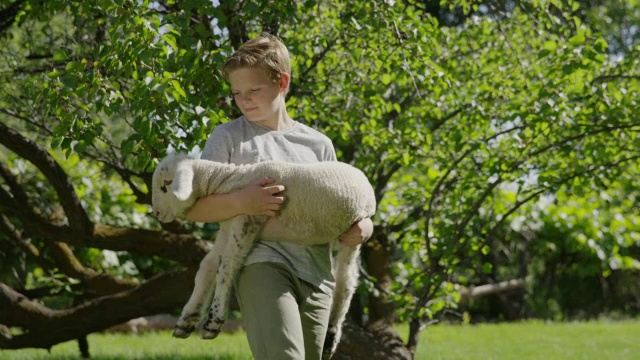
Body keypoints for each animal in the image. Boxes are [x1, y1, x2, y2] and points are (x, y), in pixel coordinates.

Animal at [152, 152, 378, 358]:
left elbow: (226, 267)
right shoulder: (228, 223)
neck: (233, 180)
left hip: (353, 230)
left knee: (345, 282)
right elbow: (207, 267)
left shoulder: (249, 218)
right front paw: (187, 320)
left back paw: (331, 334)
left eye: (166, 185)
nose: (156, 213)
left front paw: (213, 322)